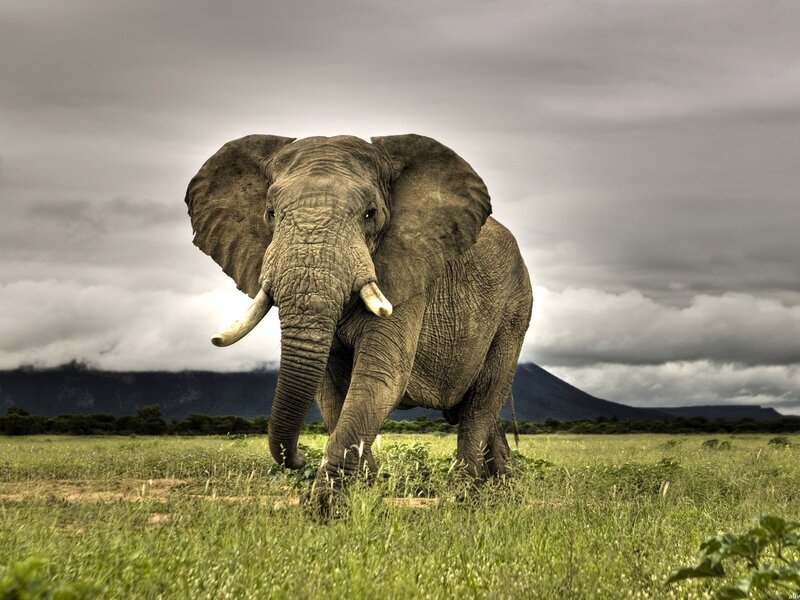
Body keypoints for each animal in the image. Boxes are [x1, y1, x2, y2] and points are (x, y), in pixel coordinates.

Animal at [185, 133, 532, 508]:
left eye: (370, 214)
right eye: (270, 213)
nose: (299, 458)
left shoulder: (408, 275)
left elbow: (379, 377)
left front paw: (325, 509)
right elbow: (330, 390)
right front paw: (363, 494)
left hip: (515, 311)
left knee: (480, 406)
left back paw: (464, 499)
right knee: (483, 412)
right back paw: (504, 491)